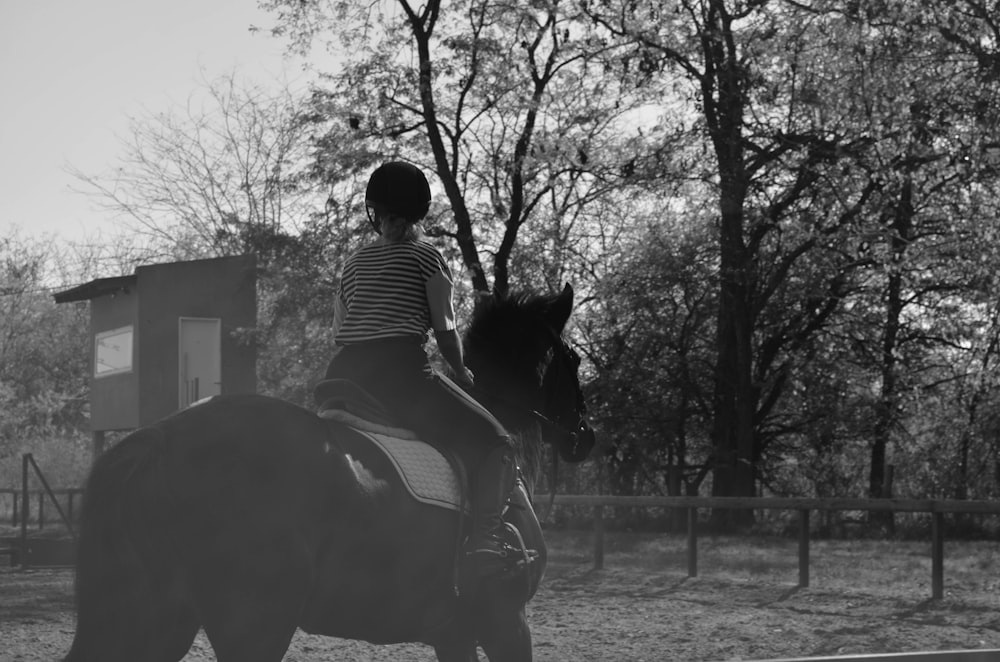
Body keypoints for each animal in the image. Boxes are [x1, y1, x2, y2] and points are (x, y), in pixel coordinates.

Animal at [62, 282, 592, 660]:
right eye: (574, 357)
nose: (584, 436)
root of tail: (161, 437)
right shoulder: (505, 621)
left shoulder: (454, 632)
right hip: (253, 622)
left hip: (159, 616)